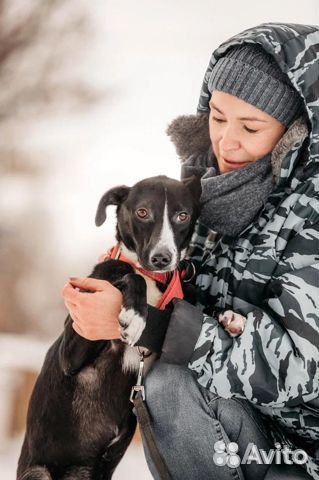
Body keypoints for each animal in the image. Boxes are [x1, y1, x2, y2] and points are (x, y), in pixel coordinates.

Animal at [16, 175, 202, 480]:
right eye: (142, 212)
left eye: (182, 215)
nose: (162, 258)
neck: (150, 276)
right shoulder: (71, 352)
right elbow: (128, 276)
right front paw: (136, 315)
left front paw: (232, 318)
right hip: (38, 473)